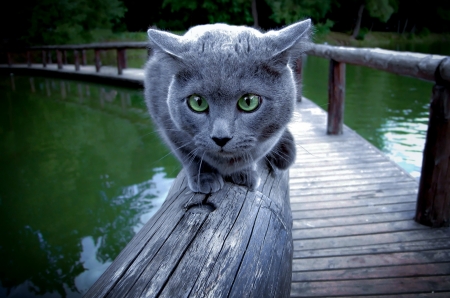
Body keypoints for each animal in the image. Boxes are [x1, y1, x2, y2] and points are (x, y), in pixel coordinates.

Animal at [144, 19, 310, 193]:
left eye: (249, 101)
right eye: (197, 102)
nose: (220, 138)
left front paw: (245, 173)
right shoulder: (168, 126)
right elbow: (189, 155)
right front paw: (205, 177)